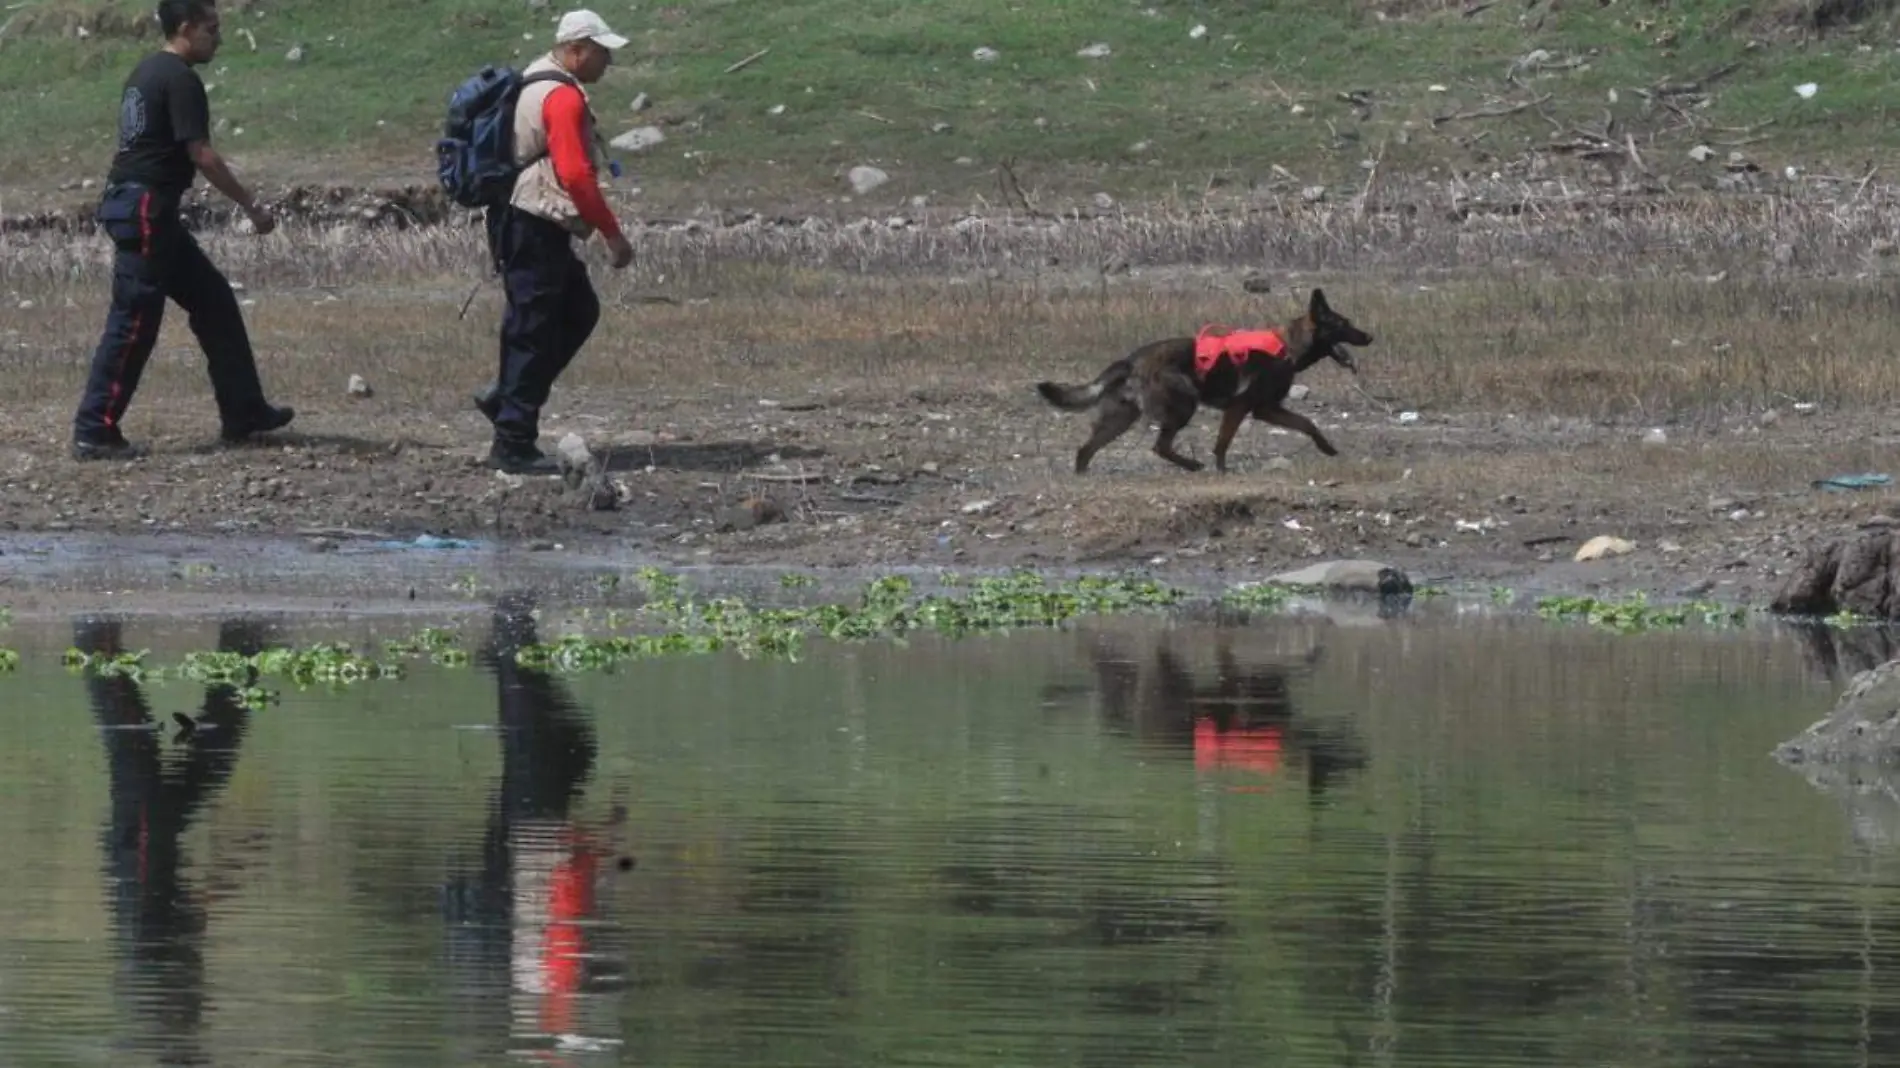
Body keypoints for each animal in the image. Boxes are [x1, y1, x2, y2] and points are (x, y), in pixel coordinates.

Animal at [1041, 288, 1368, 475]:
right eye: (1345, 325)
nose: (1371, 337)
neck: (1288, 346)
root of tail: (1132, 359)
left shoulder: (1267, 409)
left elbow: (1307, 424)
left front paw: (1327, 448)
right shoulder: (1241, 407)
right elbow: (1222, 443)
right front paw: (1222, 471)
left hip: (1121, 419)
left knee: (1086, 450)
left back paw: (1083, 477)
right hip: (1184, 406)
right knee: (1159, 446)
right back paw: (1192, 465)